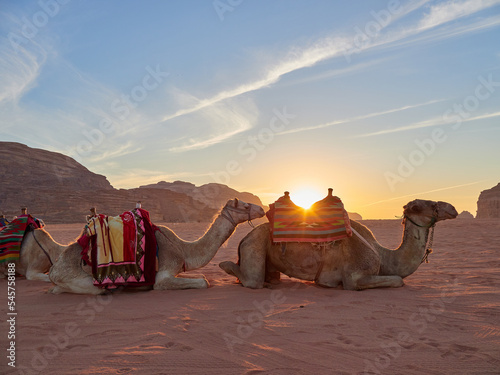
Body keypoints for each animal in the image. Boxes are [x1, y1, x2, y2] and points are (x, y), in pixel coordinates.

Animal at [48, 198, 266, 296]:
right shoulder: (164, 274)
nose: (262, 208)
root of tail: (53, 270)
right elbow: (204, 281)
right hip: (81, 281)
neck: (183, 249)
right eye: (246, 206)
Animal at [219, 200, 458, 290]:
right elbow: (398, 280)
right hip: (254, 246)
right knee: (252, 280)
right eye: (424, 205)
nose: (453, 208)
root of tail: (244, 237)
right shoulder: (355, 276)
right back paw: (225, 265)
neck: (384, 256)